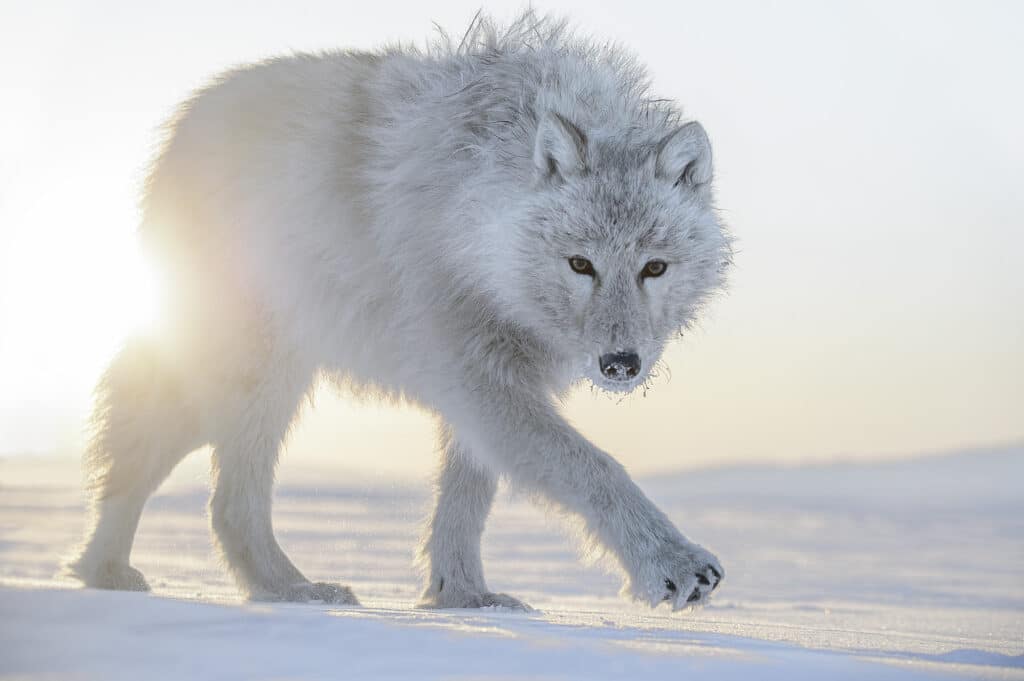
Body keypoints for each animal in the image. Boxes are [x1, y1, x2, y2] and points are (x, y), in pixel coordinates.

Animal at [68, 10, 733, 606]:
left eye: (654, 268)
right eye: (580, 264)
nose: (620, 364)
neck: (478, 214)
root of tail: (186, 121)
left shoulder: (490, 381)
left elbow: (466, 501)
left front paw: (463, 596)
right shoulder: (474, 372)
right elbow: (594, 467)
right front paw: (673, 564)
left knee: (161, 469)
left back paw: (122, 574)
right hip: (249, 379)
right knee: (210, 492)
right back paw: (280, 589)